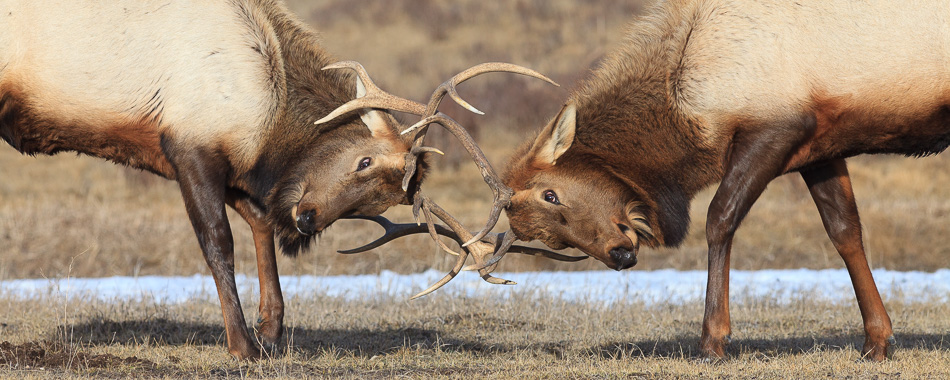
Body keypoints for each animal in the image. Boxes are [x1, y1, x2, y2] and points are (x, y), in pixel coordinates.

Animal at [0, 0, 556, 360]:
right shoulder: (190, 146)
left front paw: (271, 329)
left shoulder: (232, 170)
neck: (269, 113)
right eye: (363, 161)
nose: (309, 219)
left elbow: (262, 224)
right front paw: (242, 345)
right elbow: (218, 242)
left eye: (380, 202)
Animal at [352, 0, 950, 362]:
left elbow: (719, 219)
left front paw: (712, 339)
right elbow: (845, 231)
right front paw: (878, 340)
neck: (692, 103)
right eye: (546, 234)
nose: (621, 254)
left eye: (552, 192)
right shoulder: (821, 144)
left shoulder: (776, 127)